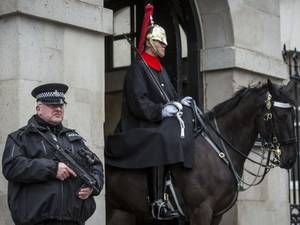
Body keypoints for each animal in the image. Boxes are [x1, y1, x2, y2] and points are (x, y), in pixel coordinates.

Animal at [105, 79, 298, 225]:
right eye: (281, 116)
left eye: (293, 115)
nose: (291, 159)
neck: (220, 148)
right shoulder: (201, 210)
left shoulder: (216, 214)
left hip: (128, 212)